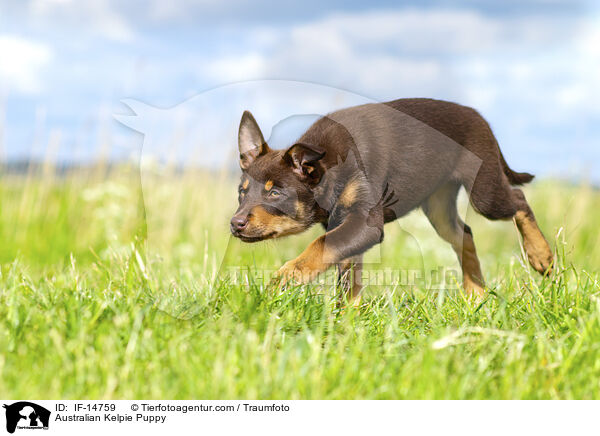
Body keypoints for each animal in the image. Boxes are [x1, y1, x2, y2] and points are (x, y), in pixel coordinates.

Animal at [229, 99, 552, 302]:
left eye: (275, 193)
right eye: (242, 193)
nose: (235, 223)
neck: (328, 165)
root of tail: (479, 117)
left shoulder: (364, 224)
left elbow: (318, 248)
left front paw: (282, 280)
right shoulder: (344, 227)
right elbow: (348, 281)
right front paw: (348, 322)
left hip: (485, 193)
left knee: (518, 199)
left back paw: (541, 255)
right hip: (439, 208)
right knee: (465, 234)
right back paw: (476, 294)